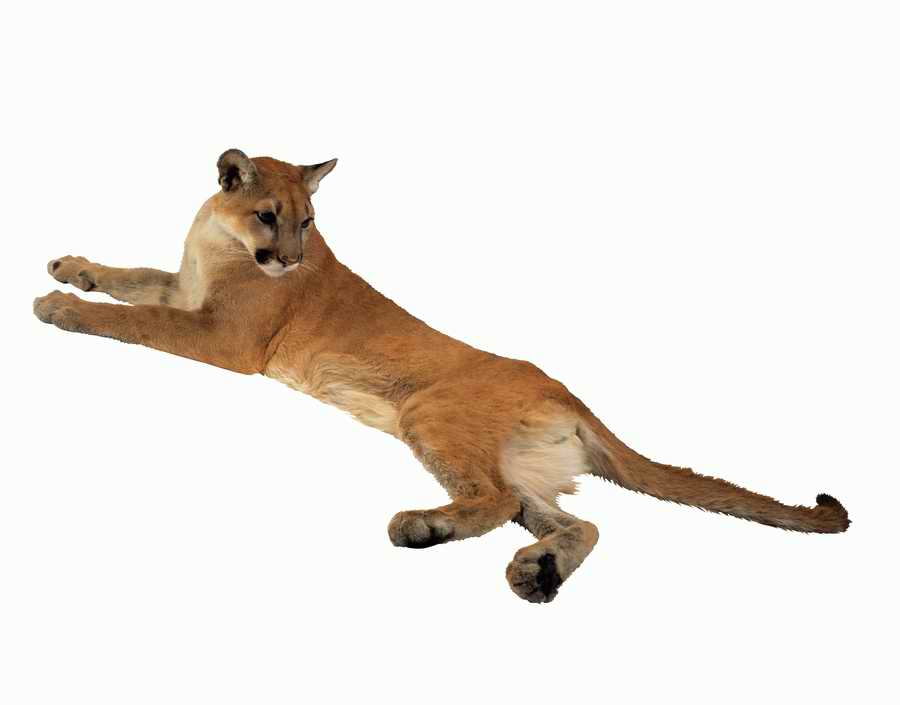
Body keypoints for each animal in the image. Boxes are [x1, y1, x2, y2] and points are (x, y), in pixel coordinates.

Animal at [34, 149, 850, 602]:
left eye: (308, 223)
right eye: (271, 215)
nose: (290, 258)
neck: (219, 236)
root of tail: (566, 390)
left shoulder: (222, 336)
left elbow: (134, 319)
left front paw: (59, 306)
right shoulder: (185, 288)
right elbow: (131, 278)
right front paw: (72, 267)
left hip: (427, 414)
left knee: (495, 501)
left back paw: (423, 527)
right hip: (518, 461)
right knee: (577, 519)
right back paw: (537, 571)